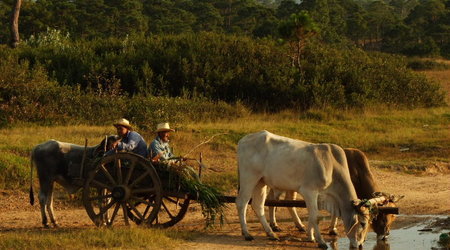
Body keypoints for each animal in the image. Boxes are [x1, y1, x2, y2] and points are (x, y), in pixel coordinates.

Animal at [234, 131, 370, 248]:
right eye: (363, 223)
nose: (361, 244)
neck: (332, 166)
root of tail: (243, 140)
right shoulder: (309, 191)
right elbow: (315, 216)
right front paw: (320, 241)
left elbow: (311, 215)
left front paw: (310, 236)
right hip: (249, 178)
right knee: (242, 202)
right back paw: (247, 234)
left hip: (261, 182)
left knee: (258, 205)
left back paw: (271, 233)